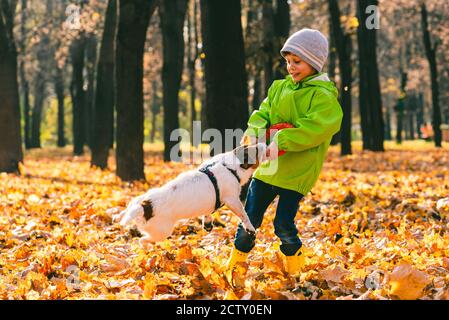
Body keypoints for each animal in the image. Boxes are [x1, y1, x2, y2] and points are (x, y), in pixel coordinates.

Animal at [114, 143, 266, 248]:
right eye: (256, 151)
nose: (263, 143)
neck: (229, 166)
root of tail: (144, 206)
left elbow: (208, 213)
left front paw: (208, 223)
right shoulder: (232, 200)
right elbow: (244, 215)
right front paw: (250, 228)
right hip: (162, 232)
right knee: (142, 239)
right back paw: (146, 247)